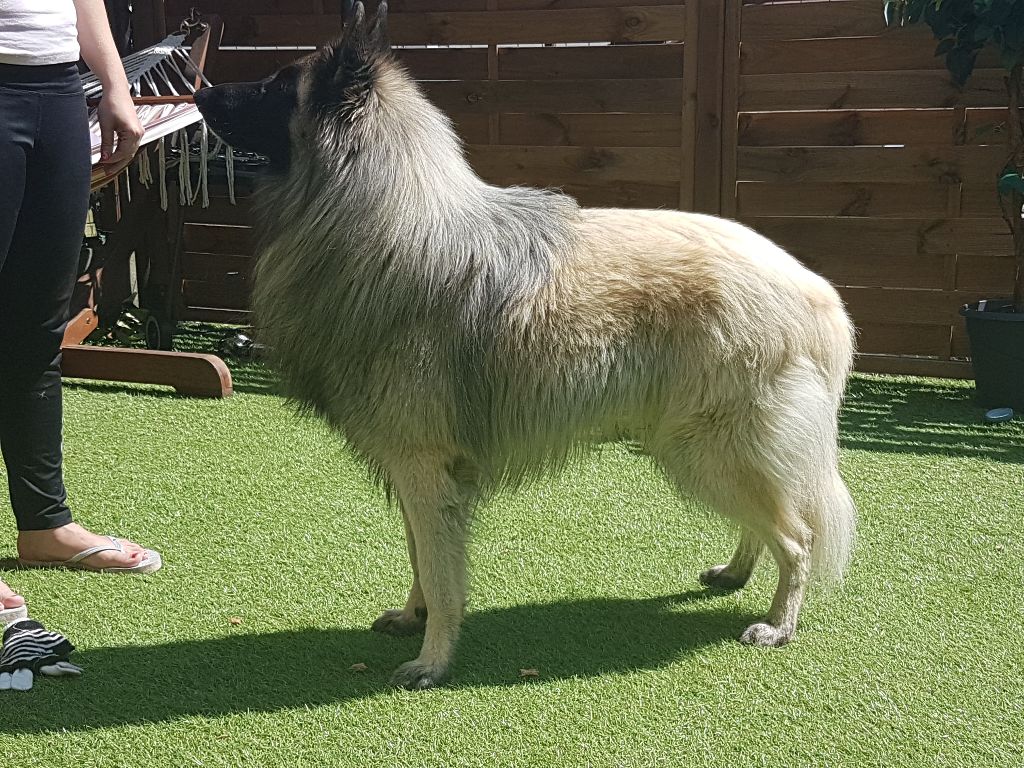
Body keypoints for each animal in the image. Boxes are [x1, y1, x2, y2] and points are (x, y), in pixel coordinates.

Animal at [194, 1, 857, 690]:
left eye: (275, 87)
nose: (199, 91)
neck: (385, 217)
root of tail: (821, 298)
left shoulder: (425, 468)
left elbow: (441, 573)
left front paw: (433, 659)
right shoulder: (415, 474)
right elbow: (419, 557)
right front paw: (412, 616)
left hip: (708, 447)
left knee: (798, 537)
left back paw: (778, 623)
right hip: (704, 449)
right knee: (769, 518)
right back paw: (736, 572)